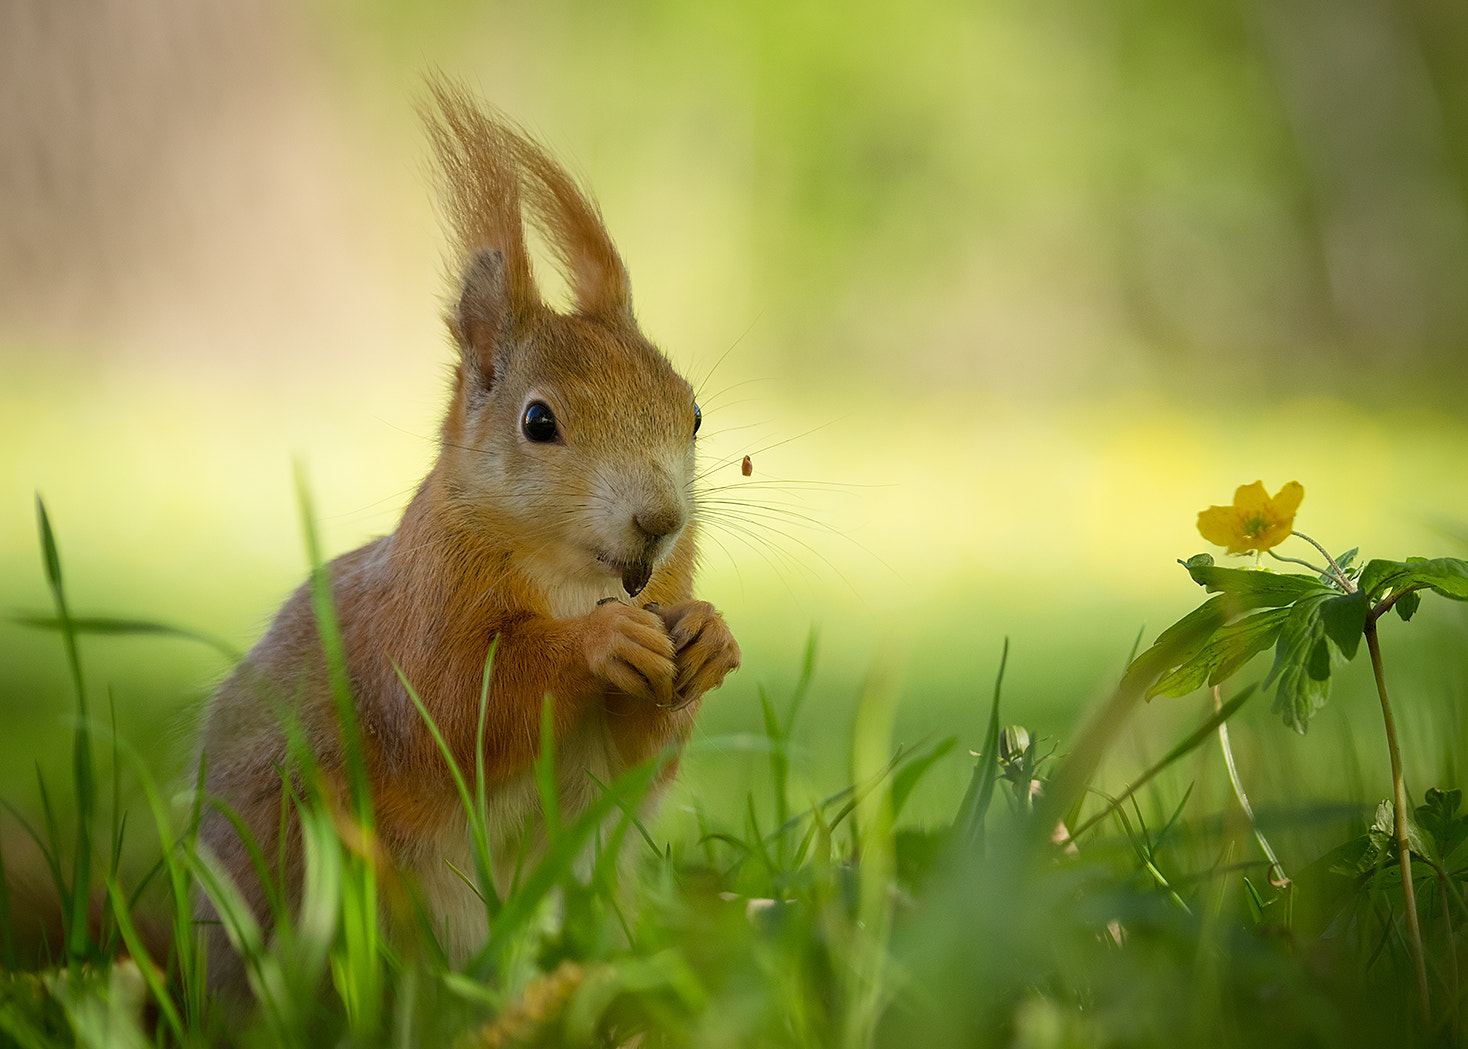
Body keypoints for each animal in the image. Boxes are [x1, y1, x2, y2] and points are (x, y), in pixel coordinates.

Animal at [195, 82, 739, 991]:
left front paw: (707, 633)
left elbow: (635, 753)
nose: (662, 521)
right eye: (538, 421)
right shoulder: (421, 610)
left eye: (692, 412)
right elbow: (461, 700)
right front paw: (599, 643)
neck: (573, 576)